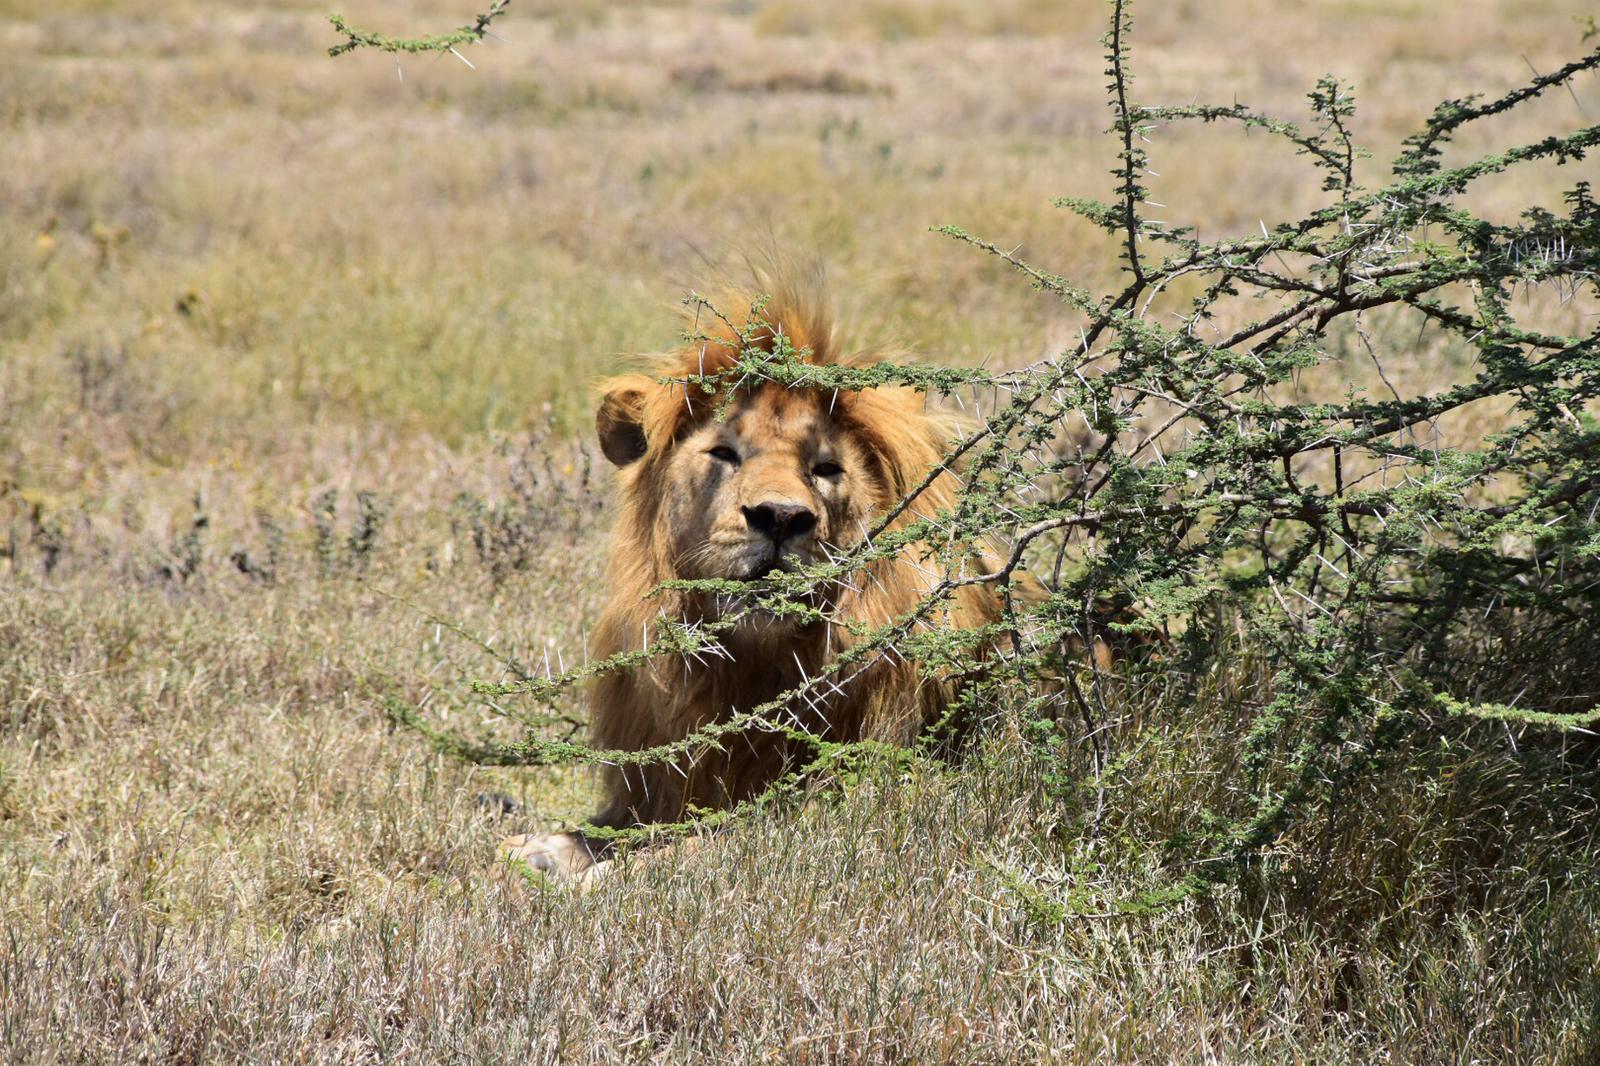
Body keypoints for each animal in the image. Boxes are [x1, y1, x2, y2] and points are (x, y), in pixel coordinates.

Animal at [499, 273, 998, 877]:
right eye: (724, 454)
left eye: (825, 468)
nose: (780, 516)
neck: (753, 668)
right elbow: (607, 830)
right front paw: (537, 849)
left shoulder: (842, 809)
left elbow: (701, 844)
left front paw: (600, 875)